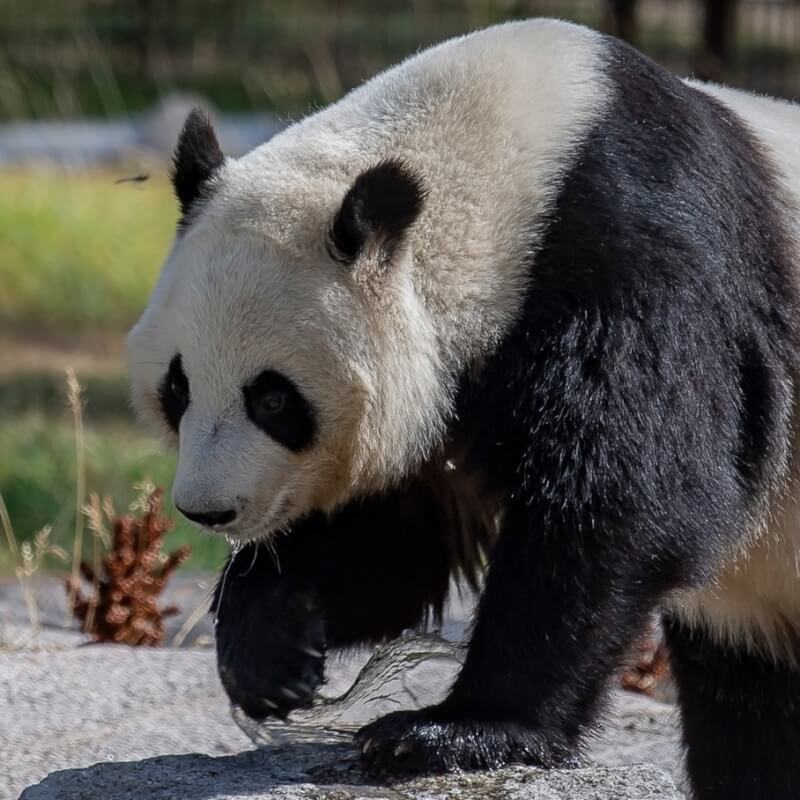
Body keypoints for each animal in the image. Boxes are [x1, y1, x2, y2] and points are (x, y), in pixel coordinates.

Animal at [128, 17, 800, 800]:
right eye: (177, 388)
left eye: (272, 397)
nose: (208, 510)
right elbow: (400, 542)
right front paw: (270, 647)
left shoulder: (643, 262)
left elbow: (627, 503)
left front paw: (453, 731)